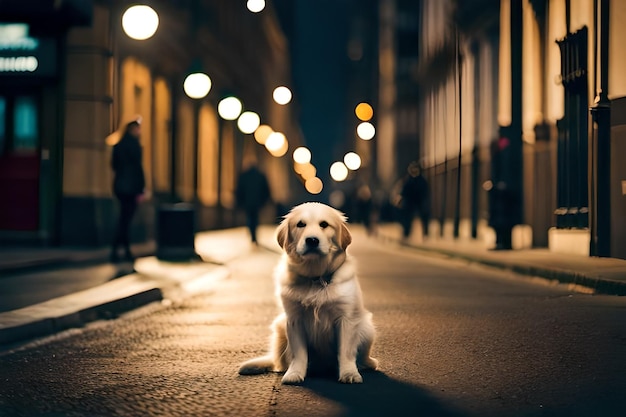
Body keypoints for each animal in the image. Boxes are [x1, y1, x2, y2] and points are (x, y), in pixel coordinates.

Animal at [238, 202, 376, 384]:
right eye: (300, 224)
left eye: (324, 224)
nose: (312, 240)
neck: (315, 278)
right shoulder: (294, 319)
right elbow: (299, 353)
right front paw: (294, 373)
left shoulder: (346, 319)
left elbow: (346, 351)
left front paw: (349, 373)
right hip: (280, 326)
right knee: (278, 361)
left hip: (367, 326)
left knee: (364, 357)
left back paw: (367, 364)